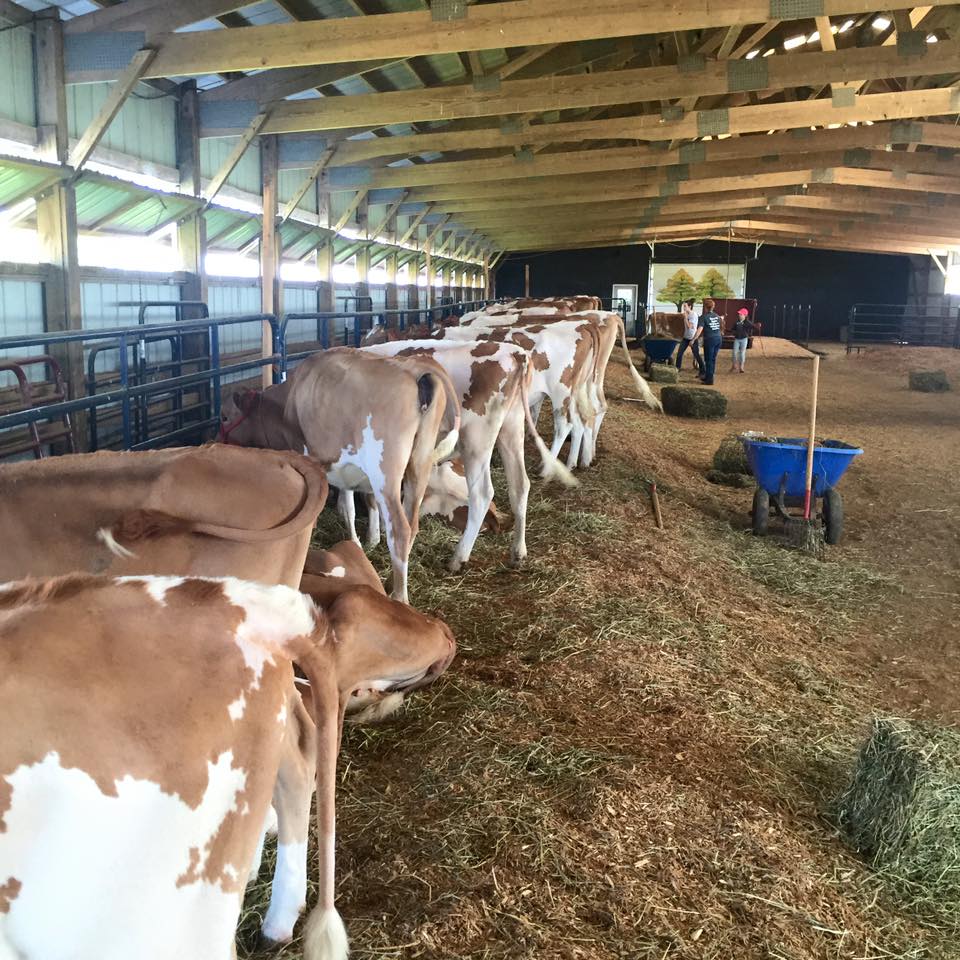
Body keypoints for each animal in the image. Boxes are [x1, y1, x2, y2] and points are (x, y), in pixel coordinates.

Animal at [221, 348, 461, 604]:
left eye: (224, 416)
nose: (215, 439)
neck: (287, 401)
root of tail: (415, 369)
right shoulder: (343, 466)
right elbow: (349, 507)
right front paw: (356, 543)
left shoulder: (308, 456)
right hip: (419, 467)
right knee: (412, 524)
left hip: (385, 474)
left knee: (400, 529)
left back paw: (399, 596)